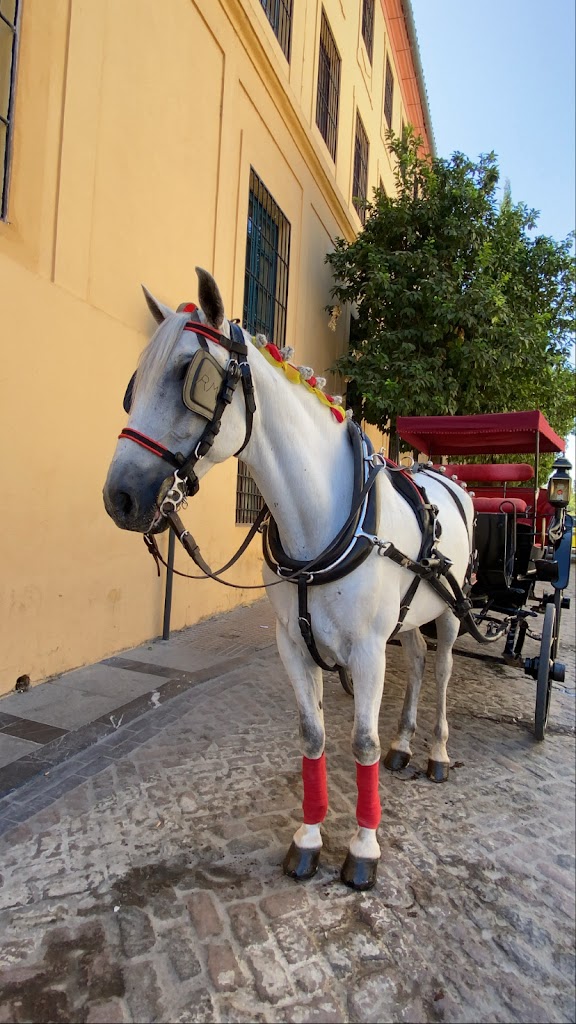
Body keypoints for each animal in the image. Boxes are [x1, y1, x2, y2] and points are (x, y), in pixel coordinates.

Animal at [103, 267, 474, 891]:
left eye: (189, 376)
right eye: (135, 383)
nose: (120, 497)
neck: (321, 519)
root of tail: (446, 479)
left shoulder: (367, 650)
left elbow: (361, 742)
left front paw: (364, 848)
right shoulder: (293, 645)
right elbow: (313, 734)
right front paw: (308, 837)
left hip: (448, 609)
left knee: (444, 668)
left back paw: (438, 753)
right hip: (407, 618)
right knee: (421, 662)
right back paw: (405, 743)